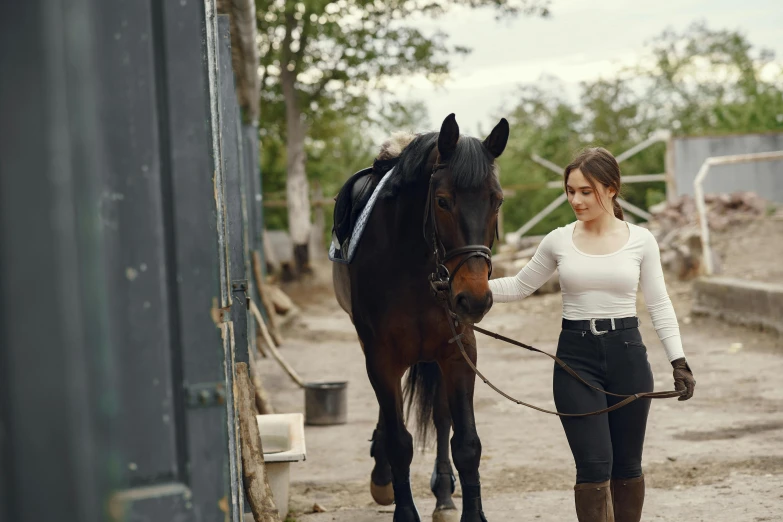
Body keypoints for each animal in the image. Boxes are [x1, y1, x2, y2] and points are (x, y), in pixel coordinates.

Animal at [330, 115, 508, 520]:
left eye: (497, 200)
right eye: (442, 201)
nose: (474, 298)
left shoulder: (459, 352)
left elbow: (466, 443)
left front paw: (471, 512)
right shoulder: (381, 356)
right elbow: (399, 442)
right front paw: (402, 507)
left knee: (441, 418)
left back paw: (443, 493)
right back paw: (383, 479)